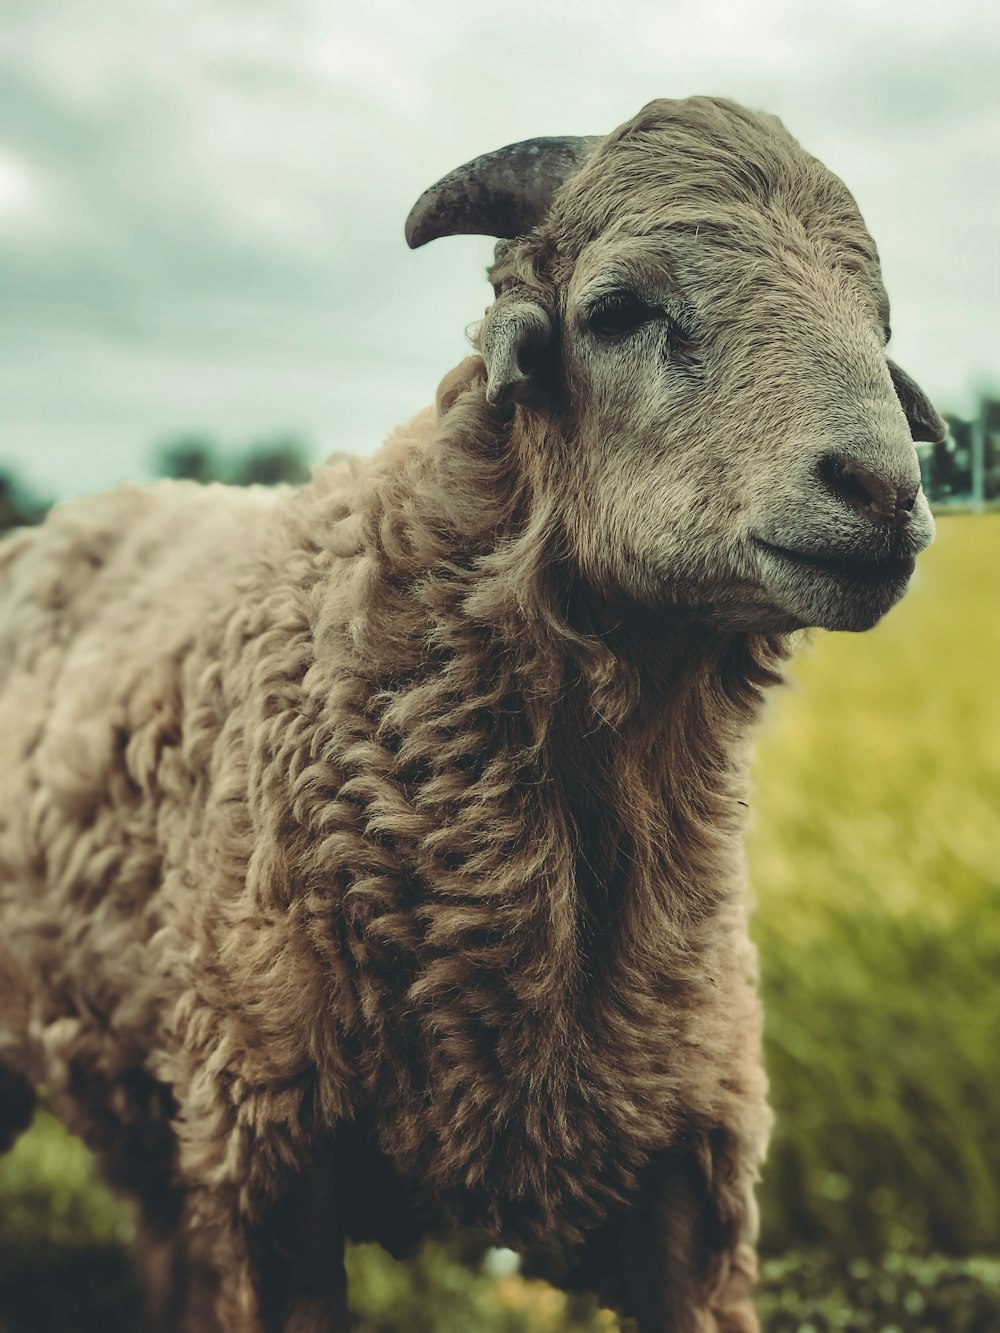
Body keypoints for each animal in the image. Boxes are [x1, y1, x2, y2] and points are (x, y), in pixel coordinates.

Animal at [0, 96, 949, 1333]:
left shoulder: (691, 1168)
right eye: (616, 309)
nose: (882, 491)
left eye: (876, 323)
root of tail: (81, 509)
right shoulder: (270, 1162)